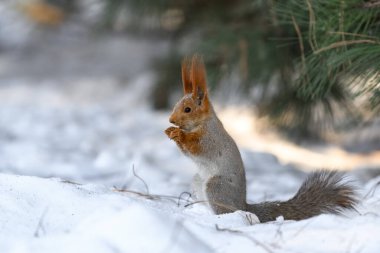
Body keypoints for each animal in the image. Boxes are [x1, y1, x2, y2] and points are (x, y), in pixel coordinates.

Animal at [165, 54, 358, 221]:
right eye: (176, 105)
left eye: (188, 109)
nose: (171, 120)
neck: (201, 124)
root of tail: (243, 205)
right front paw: (170, 131)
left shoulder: (210, 139)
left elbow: (196, 147)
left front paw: (178, 134)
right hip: (198, 181)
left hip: (216, 186)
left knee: (227, 210)